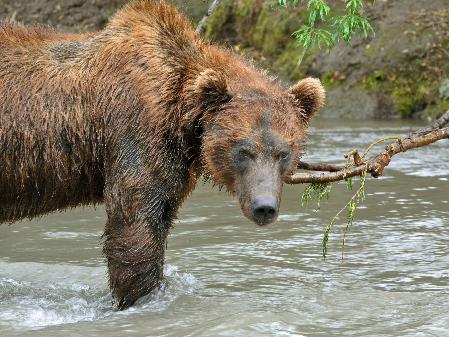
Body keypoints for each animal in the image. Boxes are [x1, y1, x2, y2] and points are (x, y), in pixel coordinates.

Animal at [0, 0, 324, 308]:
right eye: (243, 150)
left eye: (283, 152)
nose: (264, 207)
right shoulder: (136, 129)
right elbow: (135, 222)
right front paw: (142, 296)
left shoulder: (173, 162)